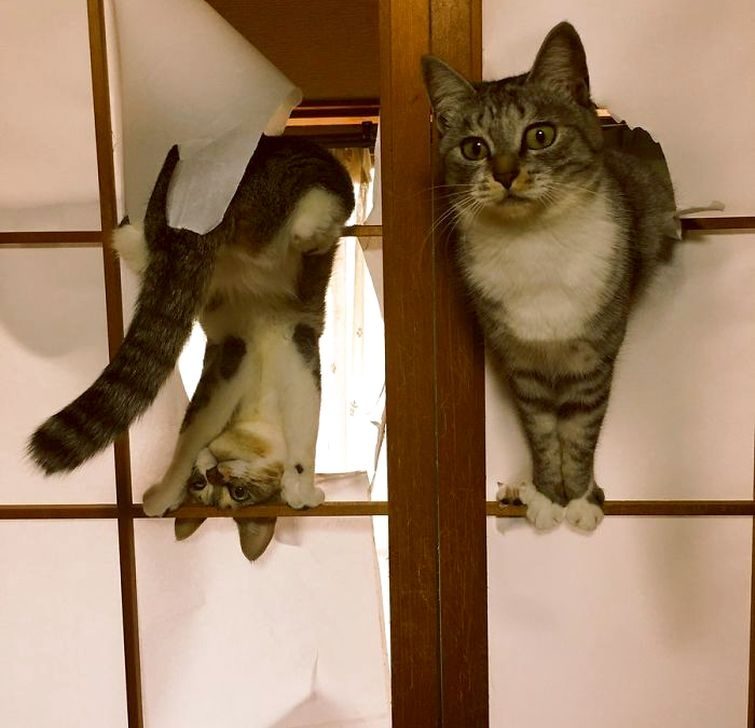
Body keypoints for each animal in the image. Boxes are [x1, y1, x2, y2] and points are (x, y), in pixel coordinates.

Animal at [29, 135, 355, 521]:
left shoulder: (268, 352)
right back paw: (315, 234)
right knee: (312, 213)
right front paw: (302, 490)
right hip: (301, 181)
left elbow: (203, 438)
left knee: (128, 240)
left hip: (148, 245)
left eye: (238, 491)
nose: (214, 476)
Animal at [422, 22, 677, 532]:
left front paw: (578, 498)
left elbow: (580, 429)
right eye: (473, 147)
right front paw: (544, 493)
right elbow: (540, 429)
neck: (533, 242)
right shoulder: (521, 365)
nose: (505, 175)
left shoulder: (593, 358)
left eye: (540, 135)